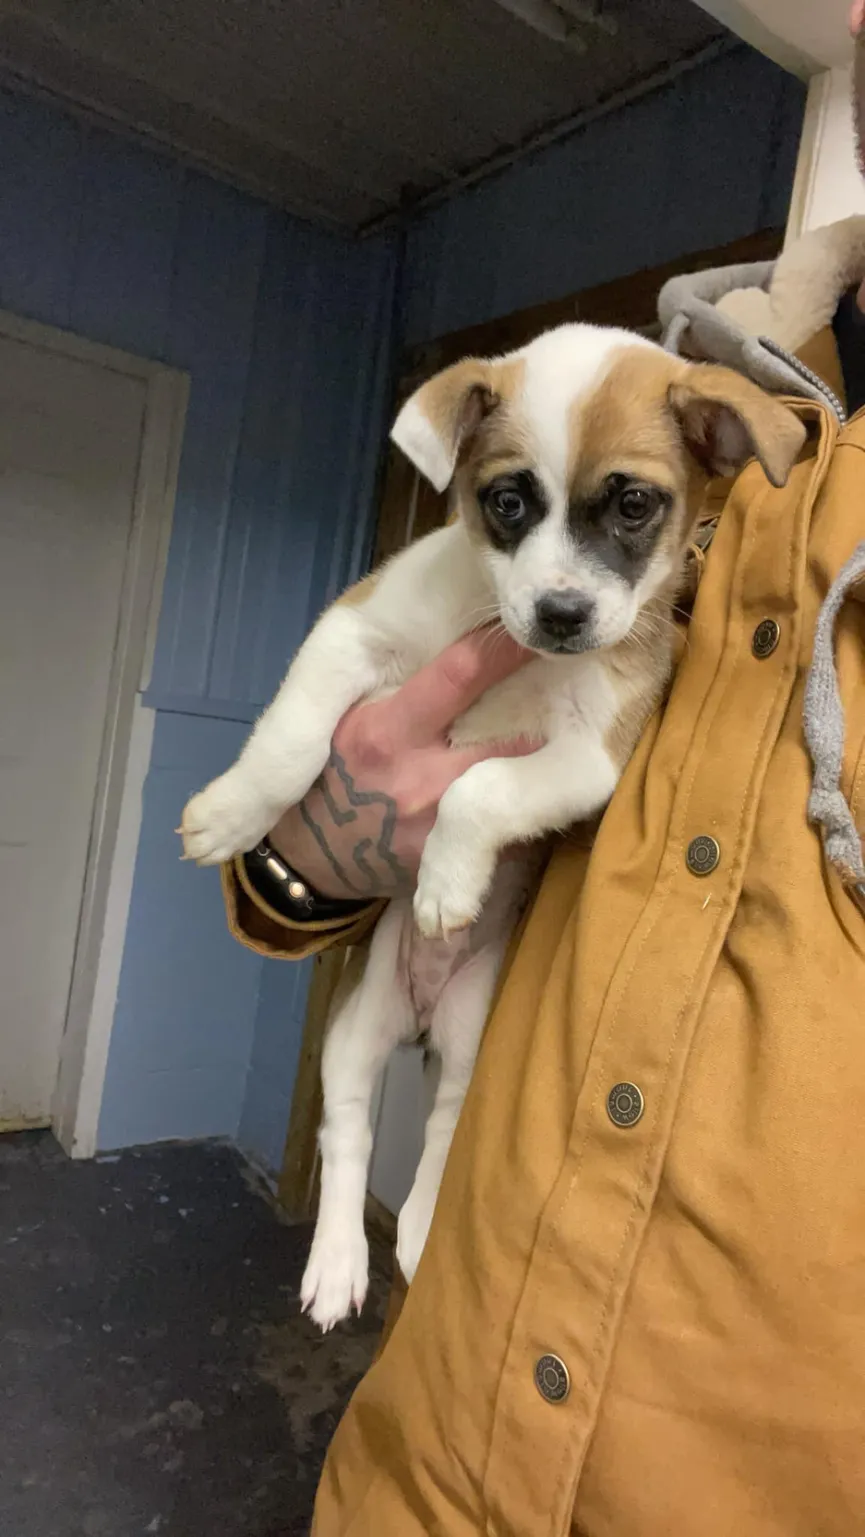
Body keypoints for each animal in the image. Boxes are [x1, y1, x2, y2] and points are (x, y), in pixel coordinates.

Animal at [182, 327, 805, 1334]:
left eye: (634, 504)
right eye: (506, 501)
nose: (560, 614)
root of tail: (420, 1019)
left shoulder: (590, 754)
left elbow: (477, 788)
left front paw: (446, 879)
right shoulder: (351, 634)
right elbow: (292, 738)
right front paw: (233, 808)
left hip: (476, 1031)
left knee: (439, 1127)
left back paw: (417, 1227)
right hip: (354, 1031)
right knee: (348, 1130)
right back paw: (338, 1262)